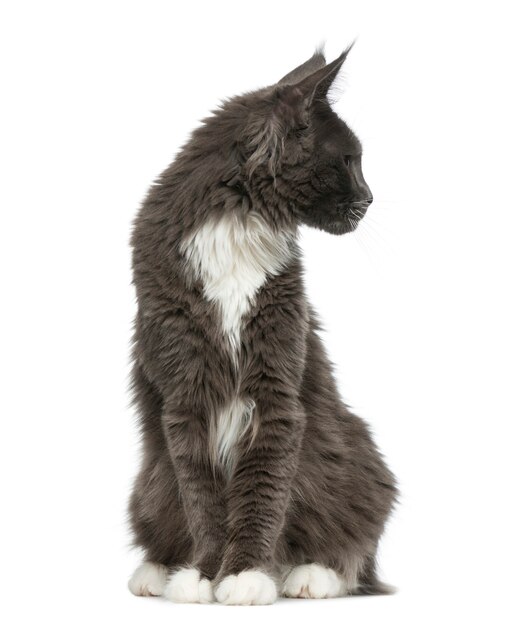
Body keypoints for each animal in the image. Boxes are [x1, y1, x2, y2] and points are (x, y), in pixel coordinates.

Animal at [128, 46, 398, 604]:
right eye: (349, 160)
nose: (371, 198)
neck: (240, 218)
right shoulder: (185, 397)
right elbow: (203, 497)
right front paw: (204, 575)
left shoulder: (277, 389)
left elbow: (263, 490)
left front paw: (245, 574)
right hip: (149, 480)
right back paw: (157, 571)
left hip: (355, 456)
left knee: (353, 548)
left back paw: (310, 575)